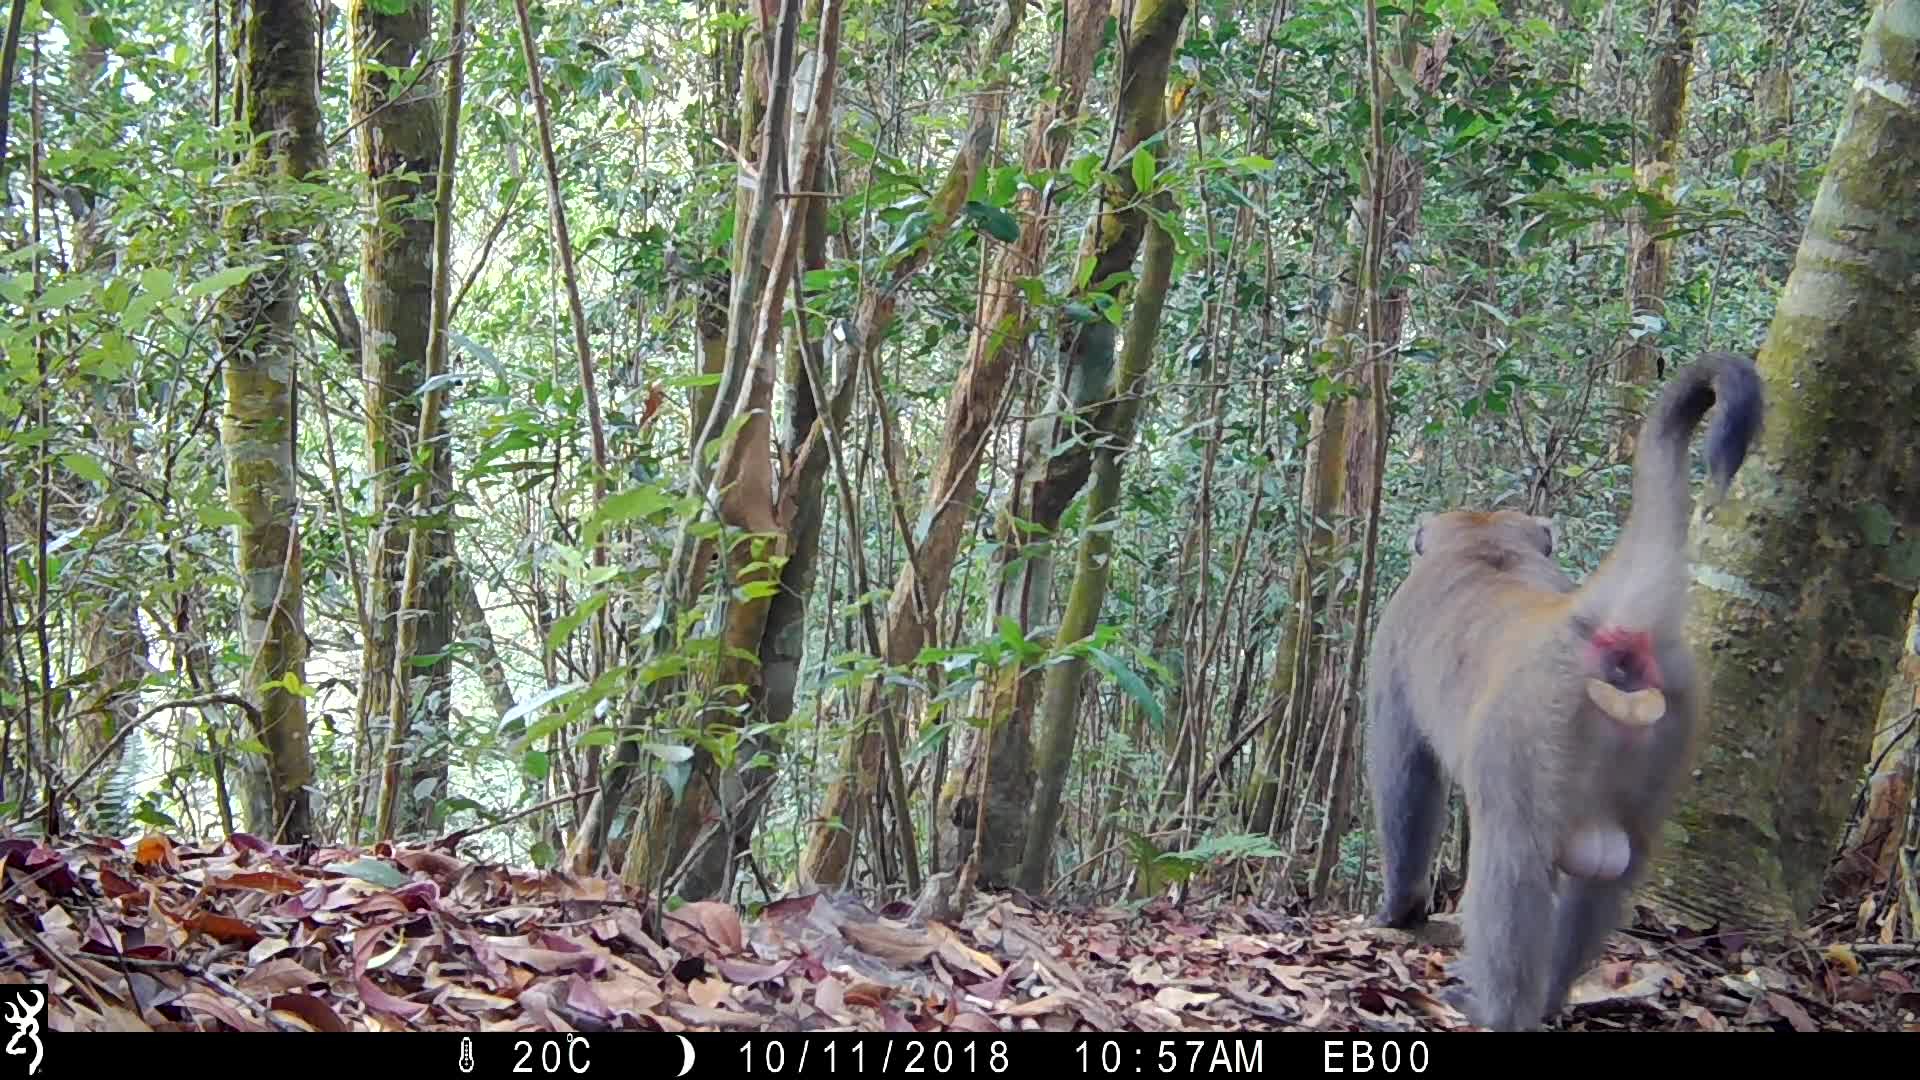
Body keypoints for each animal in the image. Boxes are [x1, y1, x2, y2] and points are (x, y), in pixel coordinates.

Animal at [1367, 351, 1758, 1022]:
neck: (1485, 546)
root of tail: (1603, 621)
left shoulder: (1391, 650)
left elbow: (1408, 784)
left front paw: (1400, 910)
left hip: (1527, 735)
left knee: (1512, 861)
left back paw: (1499, 1011)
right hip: (1668, 726)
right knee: (1615, 868)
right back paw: (1551, 996)